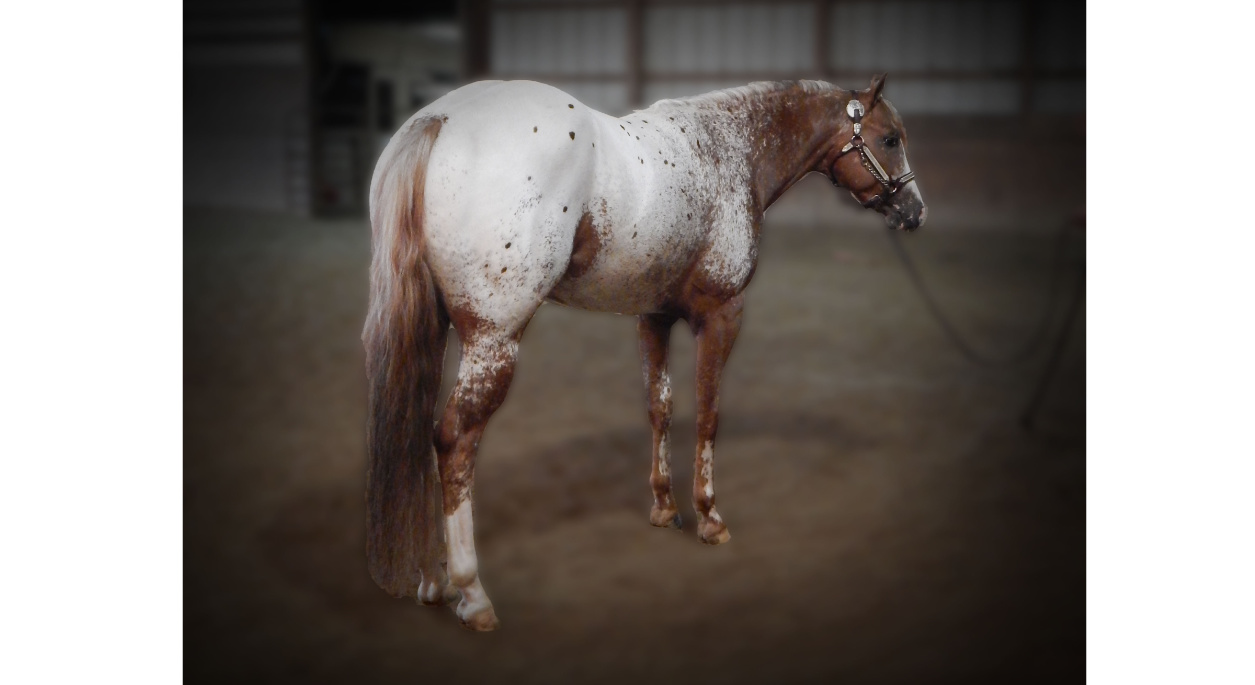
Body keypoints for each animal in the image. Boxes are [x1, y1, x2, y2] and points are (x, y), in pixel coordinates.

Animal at [363, 75, 926, 631]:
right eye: (890, 138)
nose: (915, 212)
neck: (729, 149)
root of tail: (439, 120)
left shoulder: (652, 317)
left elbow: (661, 407)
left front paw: (663, 507)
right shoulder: (722, 315)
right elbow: (708, 416)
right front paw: (710, 518)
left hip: (435, 331)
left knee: (419, 429)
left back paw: (432, 581)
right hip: (493, 340)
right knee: (454, 439)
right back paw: (471, 593)